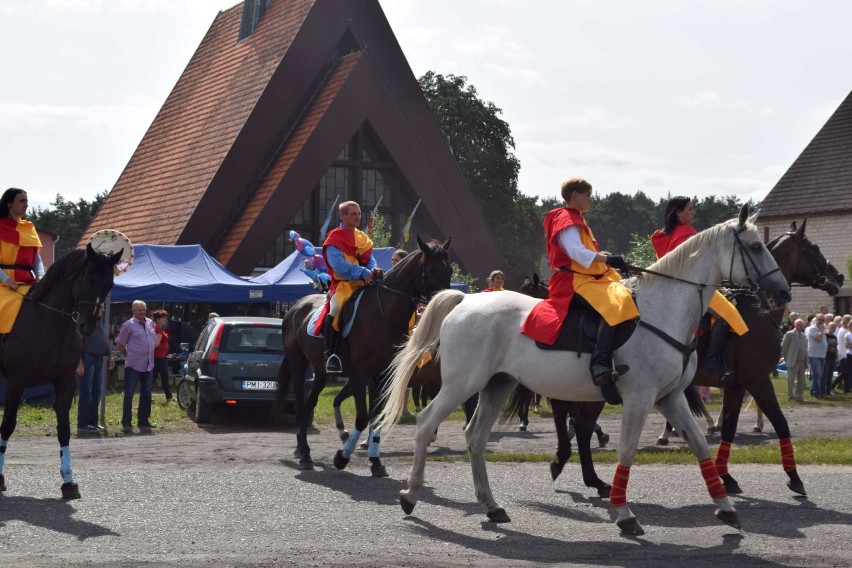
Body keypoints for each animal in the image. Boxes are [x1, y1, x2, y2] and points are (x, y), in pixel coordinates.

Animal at [278, 237, 452, 478]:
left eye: (451, 270)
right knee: (302, 406)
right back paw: (305, 455)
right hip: (298, 364)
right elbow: (362, 417)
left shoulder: (382, 376)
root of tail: (294, 307)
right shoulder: (361, 375)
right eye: (432, 270)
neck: (382, 313)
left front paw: (375, 461)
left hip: (321, 371)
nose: (448, 308)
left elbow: (375, 417)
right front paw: (342, 457)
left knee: (310, 402)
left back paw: (301, 449)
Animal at [380, 206, 792, 536]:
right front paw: (624, 514)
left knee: (476, 437)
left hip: (497, 386)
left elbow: (701, 446)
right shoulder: (640, 398)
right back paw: (410, 494)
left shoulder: (671, 397)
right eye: (756, 247)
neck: (663, 310)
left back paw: (492, 505)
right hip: (461, 384)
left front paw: (726, 507)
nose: (784, 292)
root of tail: (465, 300)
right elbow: (626, 450)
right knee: (427, 423)